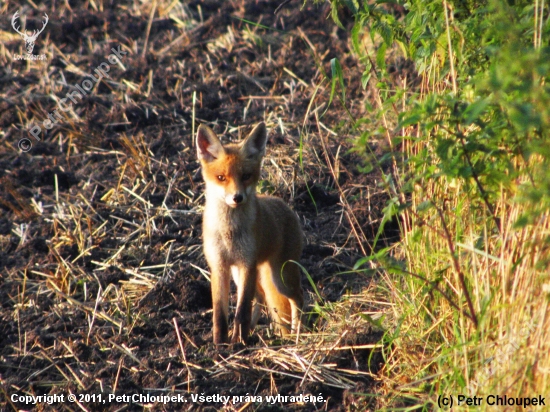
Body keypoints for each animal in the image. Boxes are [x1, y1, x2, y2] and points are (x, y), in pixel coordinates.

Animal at [196, 122, 304, 344]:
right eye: (221, 178)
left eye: (246, 176)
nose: (237, 198)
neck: (229, 232)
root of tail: (283, 204)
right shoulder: (219, 266)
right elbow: (220, 314)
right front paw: (220, 343)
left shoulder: (248, 264)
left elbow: (241, 311)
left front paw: (239, 343)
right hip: (244, 275)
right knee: (261, 298)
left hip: (280, 278)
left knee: (298, 298)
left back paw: (296, 334)